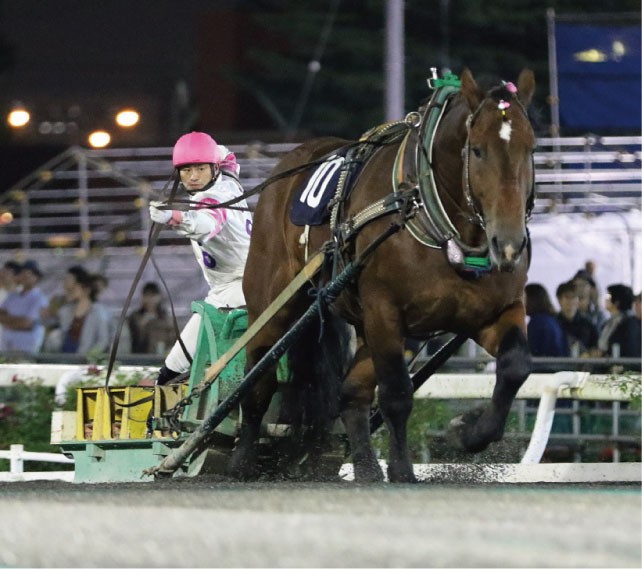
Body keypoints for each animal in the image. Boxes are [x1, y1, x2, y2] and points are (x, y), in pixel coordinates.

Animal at [229, 68, 536, 483]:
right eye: (477, 150)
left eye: (530, 148)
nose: (508, 243)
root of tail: (290, 163)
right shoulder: (384, 311)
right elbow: (396, 394)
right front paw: (403, 469)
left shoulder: (491, 311)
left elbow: (515, 366)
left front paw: (468, 433)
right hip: (274, 301)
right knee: (259, 378)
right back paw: (242, 459)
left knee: (350, 392)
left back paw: (364, 465)